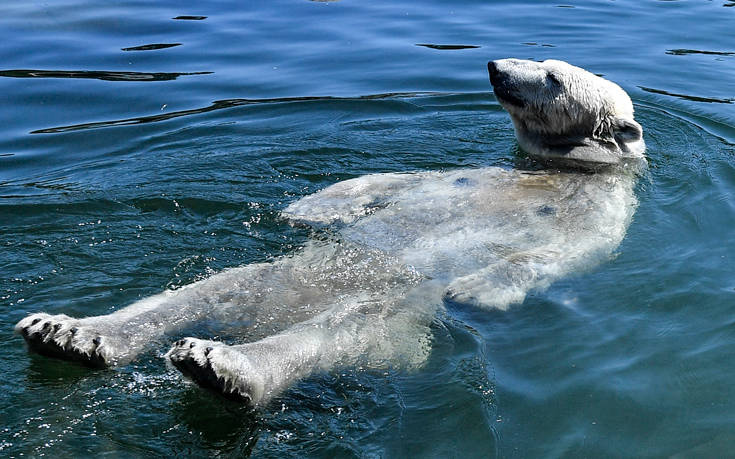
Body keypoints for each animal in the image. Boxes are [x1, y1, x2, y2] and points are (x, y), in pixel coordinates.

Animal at [11, 59, 644, 408]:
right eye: (543, 62)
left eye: (553, 76)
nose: (493, 67)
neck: (562, 170)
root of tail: (265, 316)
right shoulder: (472, 171)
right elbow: (388, 181)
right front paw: (306, 207)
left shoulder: (604, 208)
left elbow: (565, 254)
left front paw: (479, 290)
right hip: (280, 276)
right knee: (208, 288)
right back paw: (70, 333)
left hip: (394, 311)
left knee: (341, 326)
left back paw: (223, 367)